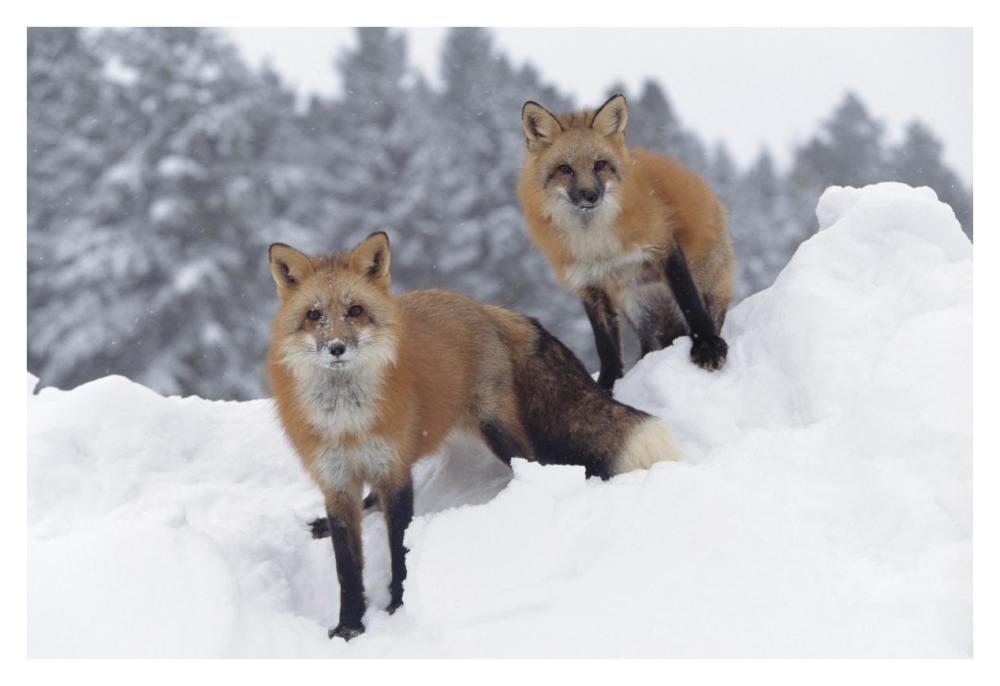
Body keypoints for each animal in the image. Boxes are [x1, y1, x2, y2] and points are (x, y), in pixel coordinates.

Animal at [266, 232, 682, 640]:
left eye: (354, 311)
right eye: (314, 315)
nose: (336, 347)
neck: (348, 423)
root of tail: (480, 305)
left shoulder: (395, 472)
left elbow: (400, 548)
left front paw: (399, 606)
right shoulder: (336, 481)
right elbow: (347, 569)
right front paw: (349, 627)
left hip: (495, 430)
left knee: (537, 465)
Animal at [517, 93, 736, 391]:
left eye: (599, 164)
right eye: (565, 169)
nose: (589, 195)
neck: (596, 243)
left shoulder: (662, 246)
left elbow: (690, 302)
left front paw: (707, 345)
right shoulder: (589, 283)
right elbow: (605, 344)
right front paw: (607, 385)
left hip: (704, 286)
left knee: (706, 312)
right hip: (640, 308)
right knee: (650, 345)